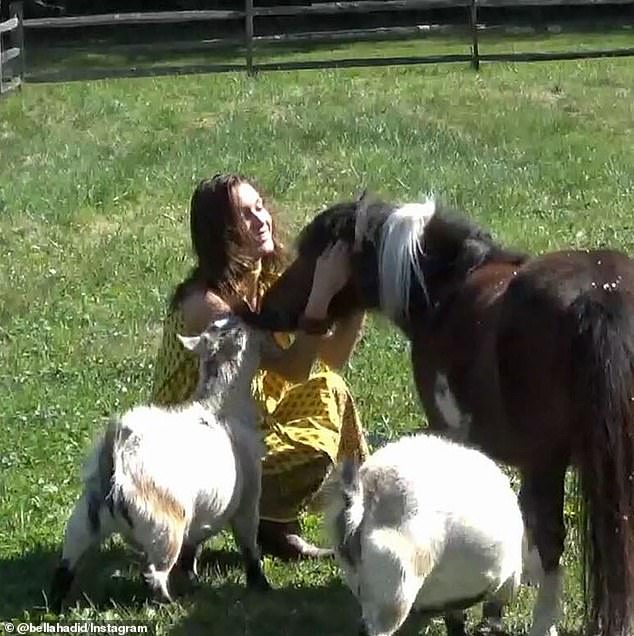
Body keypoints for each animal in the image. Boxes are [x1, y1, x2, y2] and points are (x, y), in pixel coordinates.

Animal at [50, 314, 272, 612]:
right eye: (238, 328)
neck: (220, 407)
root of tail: (115, 454)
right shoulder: (248, 497)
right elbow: (249, 544)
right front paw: (261, 584)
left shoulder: (199, 517)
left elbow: (192, 550)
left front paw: (193, 581)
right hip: (164, 525)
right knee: (153, 573)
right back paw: (169, 604)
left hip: (84, 519)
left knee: (65, 564)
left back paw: (55, 604)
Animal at [241, 195, 632, 636]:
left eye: (315, 254)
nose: (265, 310)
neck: (448, 288)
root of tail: (597, 298)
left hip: (549, 461)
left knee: (552, 538)